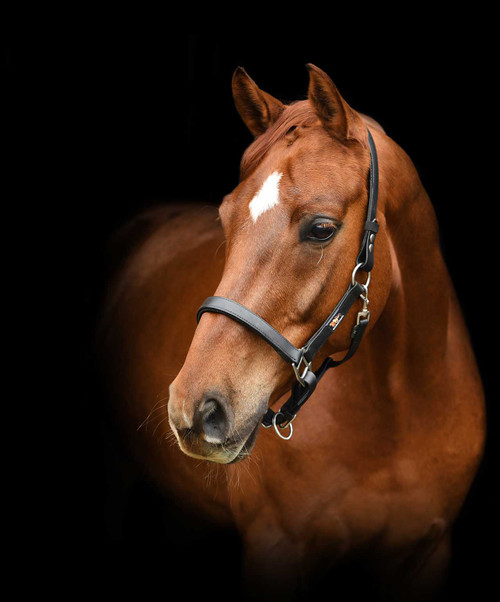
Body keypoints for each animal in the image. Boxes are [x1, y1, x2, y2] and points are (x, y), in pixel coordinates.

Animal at [95, 63, 486, 596]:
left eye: (321, 228)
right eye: (225, 218)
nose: (195, 408)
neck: (399, 410)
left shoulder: (424, 555)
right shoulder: (276, 548)